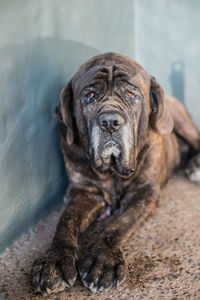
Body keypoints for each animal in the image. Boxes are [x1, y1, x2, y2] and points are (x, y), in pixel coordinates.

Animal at [31, 52, 200, 294]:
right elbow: (66, 221)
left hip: (179, 120)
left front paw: (103, 260)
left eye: (131, 94)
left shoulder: (144, 193)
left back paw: (195, 165)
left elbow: (119, 224)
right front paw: (53, 260)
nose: (110, 121)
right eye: (89, 96)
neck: (112, 172)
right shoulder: (84, 191)